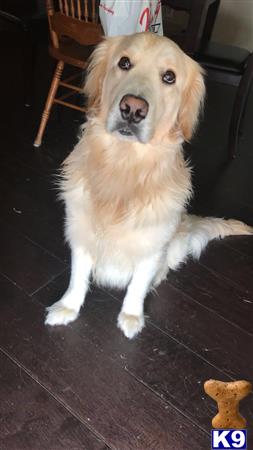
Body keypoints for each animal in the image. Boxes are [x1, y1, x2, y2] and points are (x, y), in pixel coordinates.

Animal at [45, 32, 251, 338]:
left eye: (169, 77)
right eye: (124, 62)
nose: (132, 108)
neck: (124, 165)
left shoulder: (153, 247)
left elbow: (138, 285)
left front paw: (131, 317)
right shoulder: (79, 229)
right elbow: (77, 276)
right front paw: (67, 307)